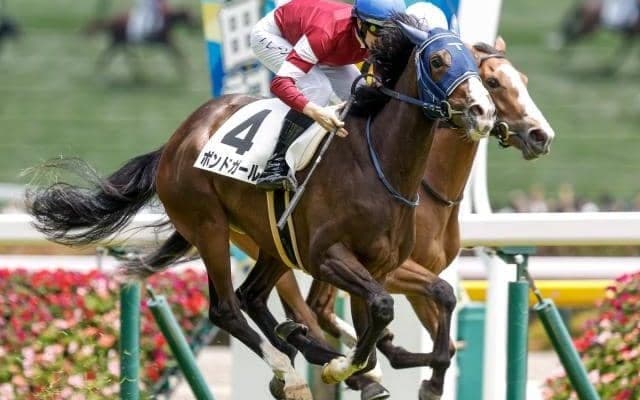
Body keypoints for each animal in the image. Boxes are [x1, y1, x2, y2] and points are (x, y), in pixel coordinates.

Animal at [26, 15, 495, 400]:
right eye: (438, 61)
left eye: (477, 68)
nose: (483, 111)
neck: (379, 164)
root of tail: (178, 139)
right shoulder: (327, 256)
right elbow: (381, 312)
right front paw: (346, 367)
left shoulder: (377, 266)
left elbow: (388, 320)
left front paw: (388, 370)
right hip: (209, 227)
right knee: (226, 308)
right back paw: (288, 368)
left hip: (272, 241)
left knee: (251, 296)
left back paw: (301, 344)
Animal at [259, 36, 555, 400]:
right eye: (493, 81)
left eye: (523, 80)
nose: (541, 135)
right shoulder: (395, 271)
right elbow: (434, 303)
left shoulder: (418, 274)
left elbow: (445, 330)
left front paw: (425, 376)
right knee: (306, 304)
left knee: (314, 306)